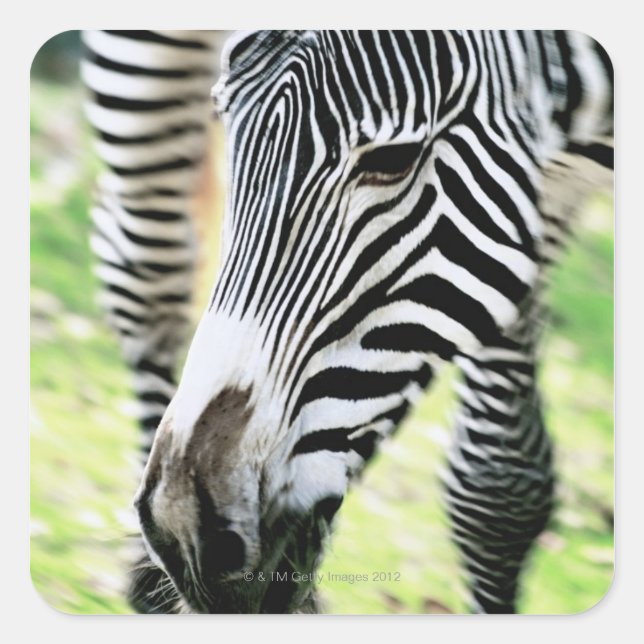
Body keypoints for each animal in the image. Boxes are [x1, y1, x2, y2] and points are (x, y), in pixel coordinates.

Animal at [81, 30, 613, 614]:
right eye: (224, 115)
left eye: (396, 157)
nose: (185, 531)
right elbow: (496, 485)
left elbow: (501, 486)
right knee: (142, 265)